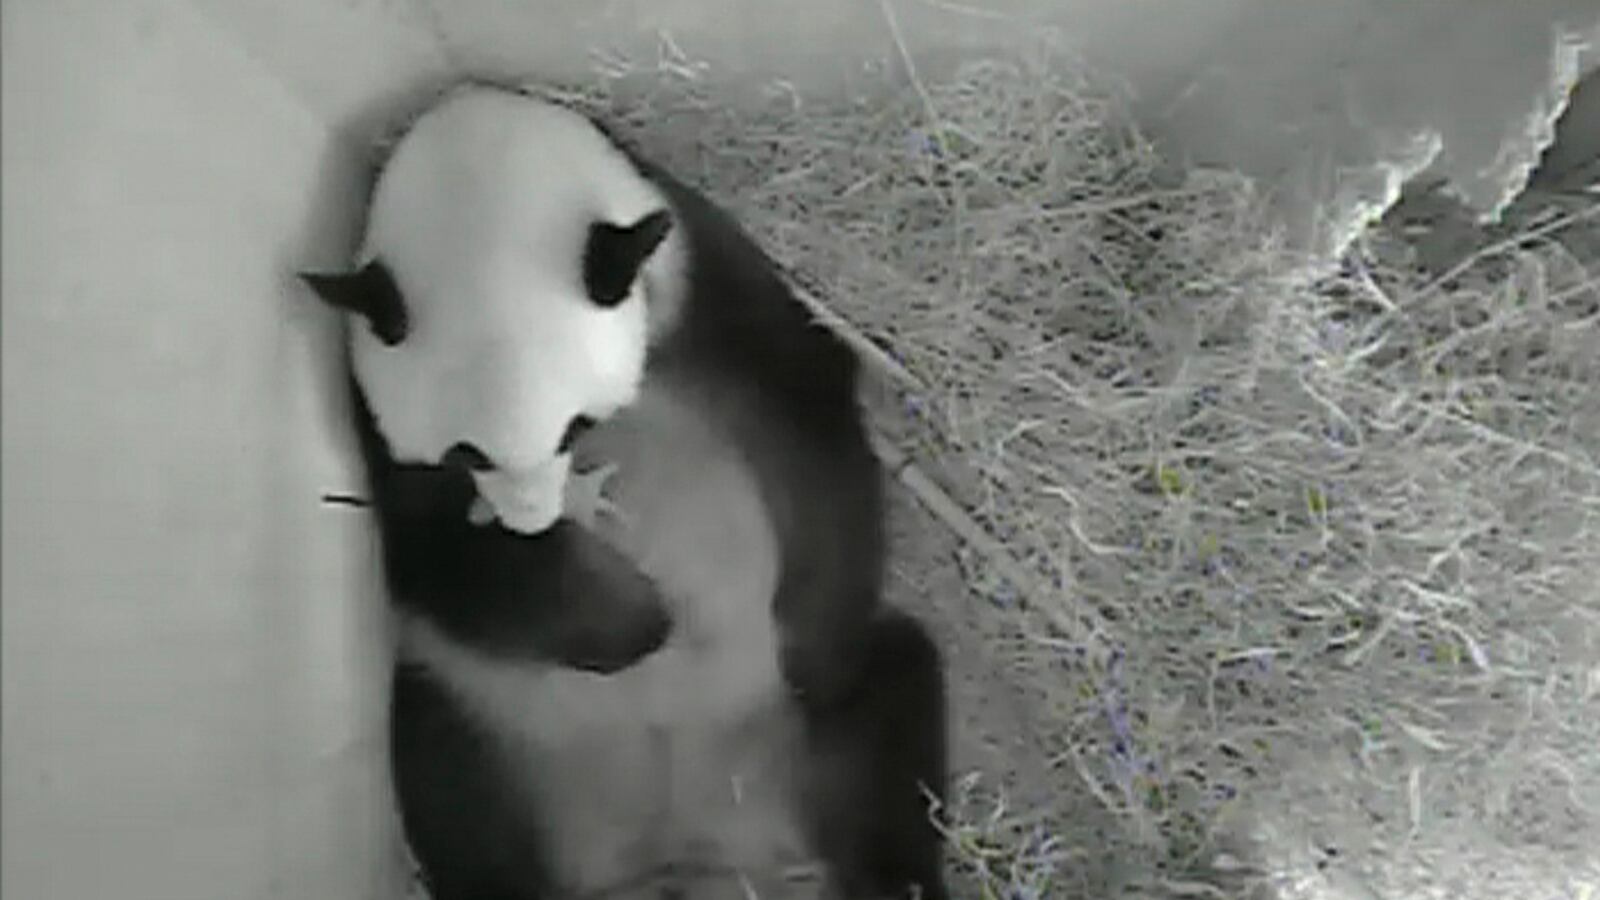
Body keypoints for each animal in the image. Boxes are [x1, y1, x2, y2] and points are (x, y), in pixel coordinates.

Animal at [300, 82, 950, 900]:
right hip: (475, 729)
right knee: (457, 804)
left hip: (828, 739)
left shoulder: (700, 279)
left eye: (576, 426)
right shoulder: (382, 425)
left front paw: (805, 634)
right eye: (465, 452)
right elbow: (436, 549)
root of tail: (690, 853)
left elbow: (806, 403)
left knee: (892, 717)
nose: (535, 520)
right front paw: (637, 620)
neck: (487, 174)